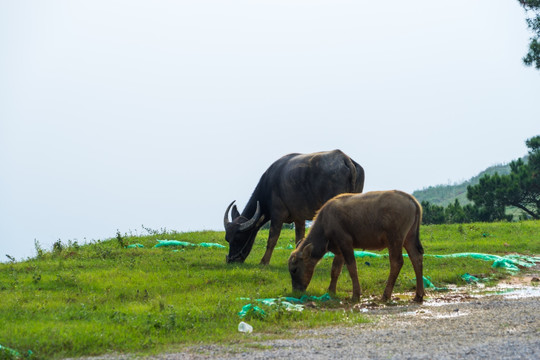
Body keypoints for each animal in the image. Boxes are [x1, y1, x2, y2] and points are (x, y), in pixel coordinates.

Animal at [221, 149, 364, 264]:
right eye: (227, 239)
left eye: (238, 239)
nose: (231, 260)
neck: (268, 185)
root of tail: (345, 159)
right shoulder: (299, 218)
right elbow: (299, 240)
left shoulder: (277, 214)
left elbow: (272, 238)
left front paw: (264, 262)